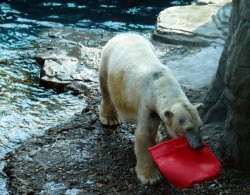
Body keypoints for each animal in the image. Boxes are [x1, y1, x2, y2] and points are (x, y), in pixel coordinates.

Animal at [98, 33, 203, 184]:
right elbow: (145, 135)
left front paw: (162, 140)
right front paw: (151, 176)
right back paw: (110, 119)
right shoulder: (147, 103)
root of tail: (124, 34)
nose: (199, 146)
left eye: (200, 126)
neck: (162, 82)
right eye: (187, 128)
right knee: (105, 88)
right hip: (107, 60)